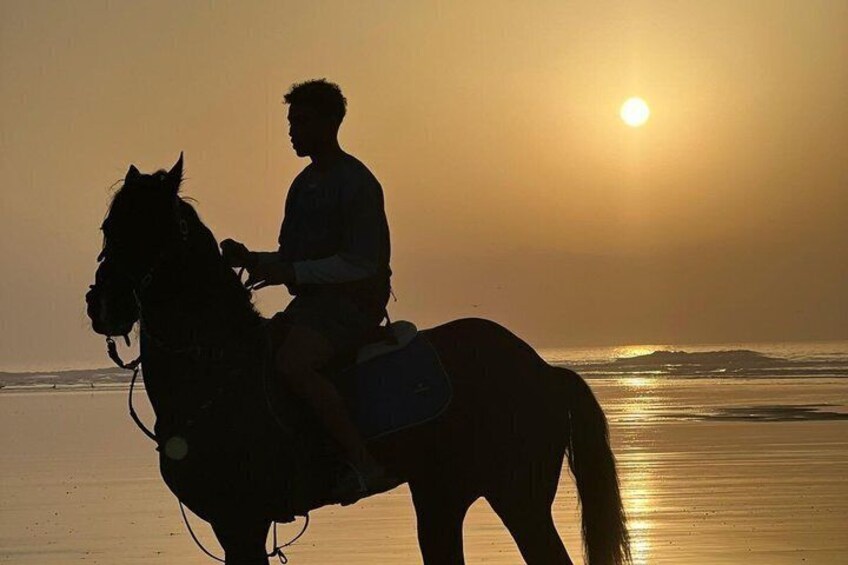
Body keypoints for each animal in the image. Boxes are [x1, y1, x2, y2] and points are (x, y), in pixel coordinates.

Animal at [85, 154, 630, 565]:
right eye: (110, 225)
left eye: (156, 229)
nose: (104, 305)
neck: (218, 374)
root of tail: (544, 370)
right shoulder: (233, 526)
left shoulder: (242, 522)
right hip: (442, 495)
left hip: (518, 497)